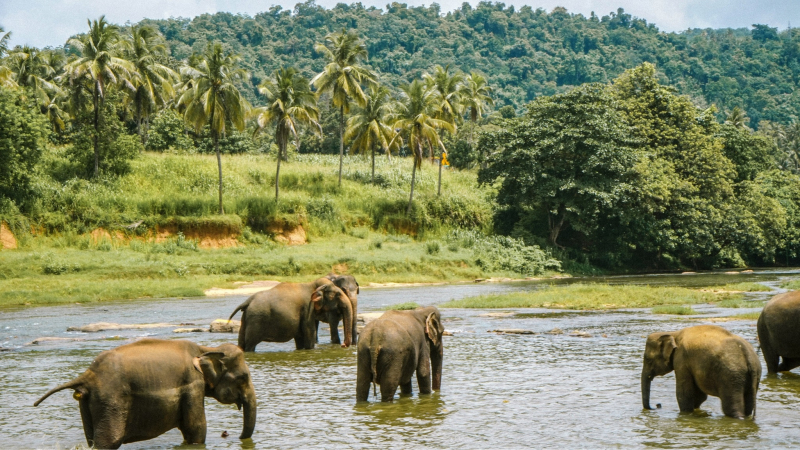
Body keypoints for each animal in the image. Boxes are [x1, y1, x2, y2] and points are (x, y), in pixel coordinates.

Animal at [33, 339, 256, 449]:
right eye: (243, 377)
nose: (233, 436)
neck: (205, 348)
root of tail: (87, 375)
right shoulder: (192, 384)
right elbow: (196, 430)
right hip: (111, 400)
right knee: (108, 442)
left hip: (88, 402)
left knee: (92, 441)